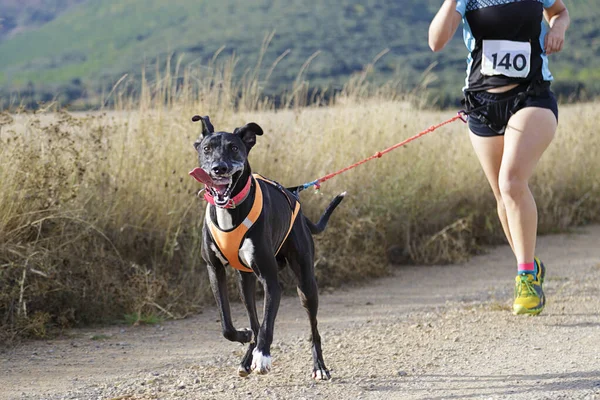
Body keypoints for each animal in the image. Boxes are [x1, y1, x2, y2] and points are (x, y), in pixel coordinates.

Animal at [190, 115, 344, 378]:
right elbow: (227, 325)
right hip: (245, 281)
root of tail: (297, 201)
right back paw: (247, 355)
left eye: (234, 148)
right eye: (207, 148)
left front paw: (262, 355)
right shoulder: (214, 269)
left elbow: (267, 323)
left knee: (313, 328)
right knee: (252, 315)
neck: (230, 208)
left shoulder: (271, 279)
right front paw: (245, 339)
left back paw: (320, 367)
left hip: (306, 284)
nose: (219, 168)